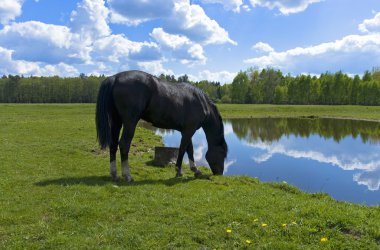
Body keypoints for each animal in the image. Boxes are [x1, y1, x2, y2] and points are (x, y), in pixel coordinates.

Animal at [96, 70, 227, 182]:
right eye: (222, 153)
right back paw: (127, 175)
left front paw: (195, 170)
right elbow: (183, 149)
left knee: (113, 144)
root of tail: (115, 78)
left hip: (116, 121)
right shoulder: (189, 130)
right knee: (124, 144)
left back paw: (114, 175)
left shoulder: (186, 130)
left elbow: (189, 149)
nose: (220, 173)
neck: (201, 103)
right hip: (130, 122)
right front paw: (178, 171)